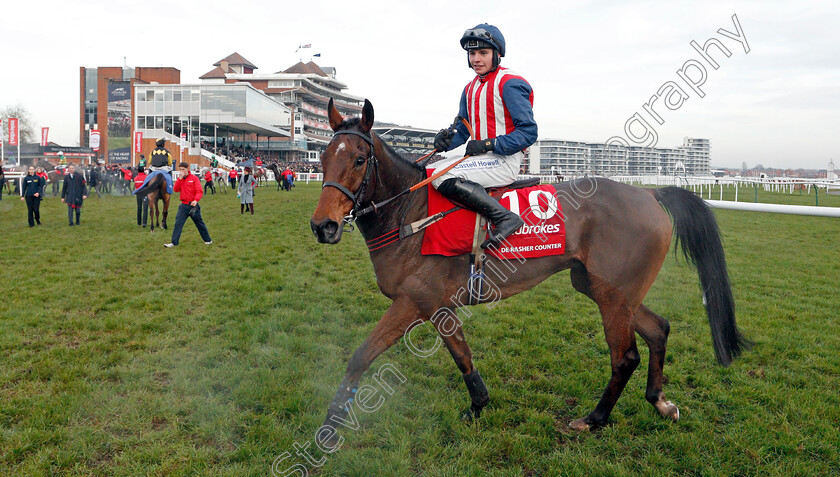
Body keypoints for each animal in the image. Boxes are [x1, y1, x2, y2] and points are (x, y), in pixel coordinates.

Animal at [308, 98, 748, 434]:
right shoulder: (439, 305)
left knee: (624, 357)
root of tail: (650, 194)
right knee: (658, 329)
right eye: (323, 156)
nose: (323, 226)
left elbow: (361, 356)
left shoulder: (413, 302)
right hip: (605, 289)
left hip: (613, 295)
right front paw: (479, 405)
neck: (410, 215)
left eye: (360, 159)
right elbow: (462, 355)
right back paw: (659, 402)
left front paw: (330, 427)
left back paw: (594, 418)